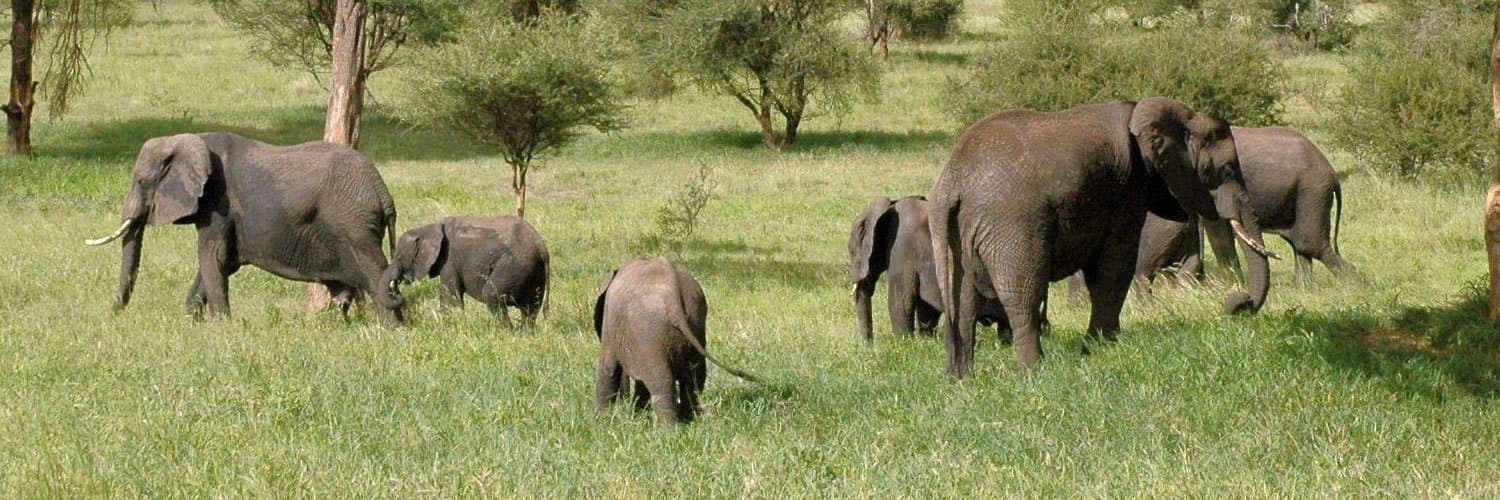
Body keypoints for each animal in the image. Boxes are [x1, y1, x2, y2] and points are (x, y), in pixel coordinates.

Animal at [84, 133, 404, 325]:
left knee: (375, 271)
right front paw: (192, 321)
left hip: (353, 225)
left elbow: (212, 257)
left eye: (141, 182)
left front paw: (220, 326)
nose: (111, 317)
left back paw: (393, 329)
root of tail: (382, 192)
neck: (189, 139)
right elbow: (220, 261)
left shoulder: (218, 203)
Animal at [383, 215, 550, 328]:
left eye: (398, 257)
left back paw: (506, 332)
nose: (396, 290)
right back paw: (525, 333)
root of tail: (542, 248)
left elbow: (451, 298)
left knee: (492, 295)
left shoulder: (449, 260)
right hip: (534, 272)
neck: (428, 228)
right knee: (531, 307)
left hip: (513, 266)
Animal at [593, 258, 758, 425]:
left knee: (662, 381)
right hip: (695, 323)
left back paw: (668, 428)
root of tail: (674, 297)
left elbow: (608, 368)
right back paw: (690, 420)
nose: (623, 403)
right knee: (695, 378)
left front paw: (601, 420)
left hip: (650, 333)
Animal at [929, 97, 1273, 377]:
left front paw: (1100, 346)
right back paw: (1035, 372)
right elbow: (1116, 265)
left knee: (963, 300)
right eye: (1226, 170)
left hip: (955, 232)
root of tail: (953, 183)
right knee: (1023, 293)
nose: (1237, 303)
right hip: (1012, 227)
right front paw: (1102, 348)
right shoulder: (1127, 189)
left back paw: (961, 378)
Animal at [1202, 126, 1355, 286]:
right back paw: (1303, 289)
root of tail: (1332, 172)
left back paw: (1353, 284)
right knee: (1300, 245)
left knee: (1310, 244)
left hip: (1313, 192)